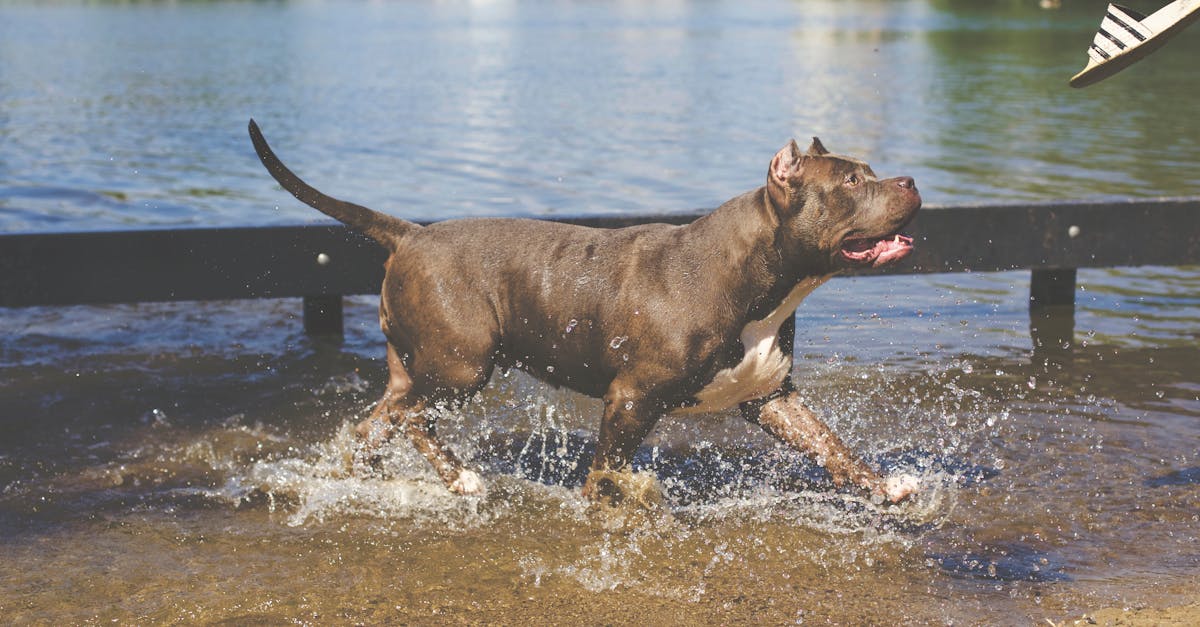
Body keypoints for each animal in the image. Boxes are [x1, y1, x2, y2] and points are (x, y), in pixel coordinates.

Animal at [248, 120, 921, 502]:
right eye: (852, 181)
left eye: (872, 172)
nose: (911, 180)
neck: (758, 275)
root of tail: (411, 235)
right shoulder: (630, 397)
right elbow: (608, 469)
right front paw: (613, 505)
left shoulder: (771, 397)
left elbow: (831, 445)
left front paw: (885, 485)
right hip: (463, 366)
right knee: (416, 419)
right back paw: (463, 479)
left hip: (418, 370)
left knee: (377, 422)